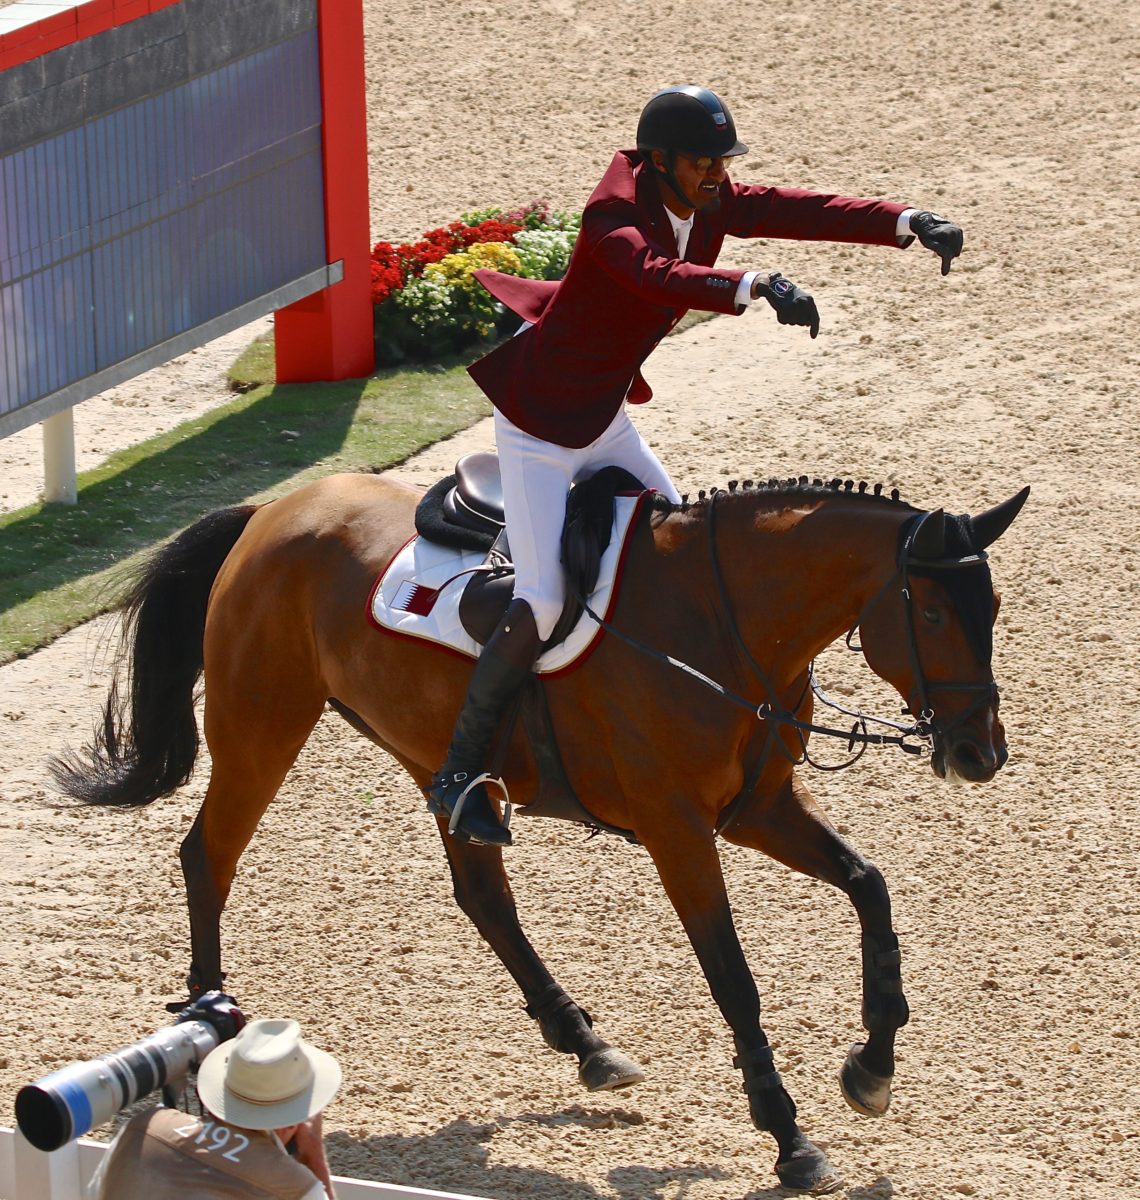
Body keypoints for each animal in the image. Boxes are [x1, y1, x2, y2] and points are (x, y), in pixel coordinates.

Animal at [53, 468, 1032, 1190]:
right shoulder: (680, 832)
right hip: (262, 727)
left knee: (481, 894)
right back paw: (208, 1028)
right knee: (208, 856)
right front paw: (790, 1139)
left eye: (991, 611)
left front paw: (872, 1066)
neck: (718, 626)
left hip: (433, 759)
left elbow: (871, 887)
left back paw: (587, 1045)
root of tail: (272, 511)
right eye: (932, 612)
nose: (980, 753)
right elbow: (735, 981)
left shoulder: (759, 810)